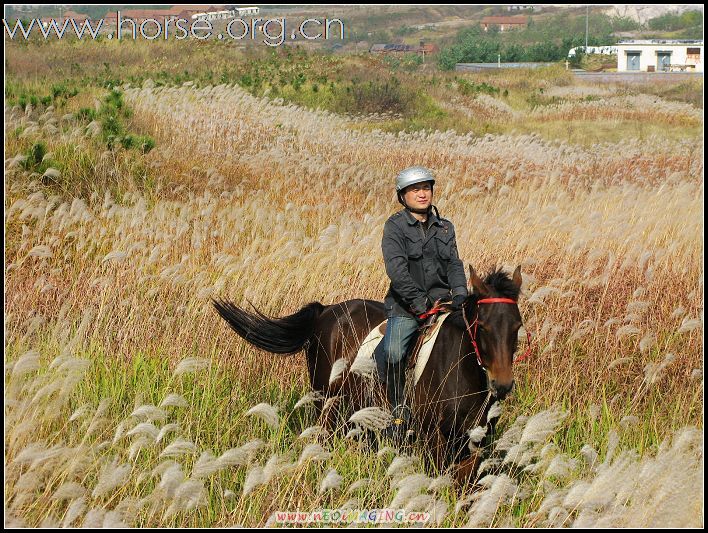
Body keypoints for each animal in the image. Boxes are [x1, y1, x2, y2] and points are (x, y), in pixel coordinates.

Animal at [212, 264, 524, 484]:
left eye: (517, 326)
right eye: (482, 326)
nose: (502, 385)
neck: (460, 368)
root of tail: (326, 310)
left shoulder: (473, 443)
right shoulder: (434, 438)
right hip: (325, 403)